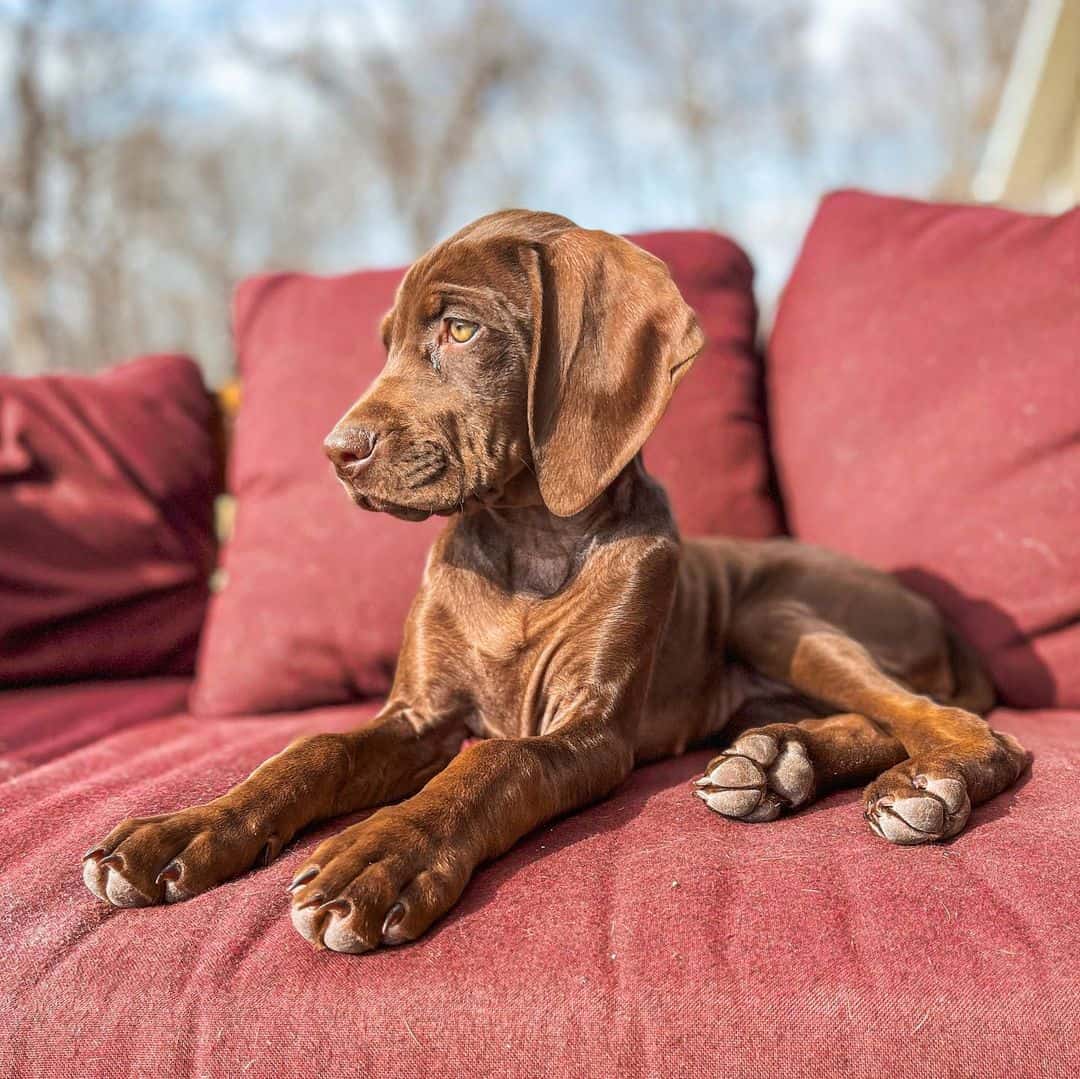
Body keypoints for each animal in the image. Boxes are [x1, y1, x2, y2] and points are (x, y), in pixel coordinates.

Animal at [82, 210, 1028, 954]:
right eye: (388, 343)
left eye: (461, 331)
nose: (336, 451)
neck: (529, 544)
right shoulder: (420, 715)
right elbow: (312, 749)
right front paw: (182, 830)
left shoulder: (592, 731)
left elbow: (496, 762)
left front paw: (380, 855)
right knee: (875, 716)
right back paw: (776, 763)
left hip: (774, 611)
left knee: (958, 724)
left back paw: (920, 785)